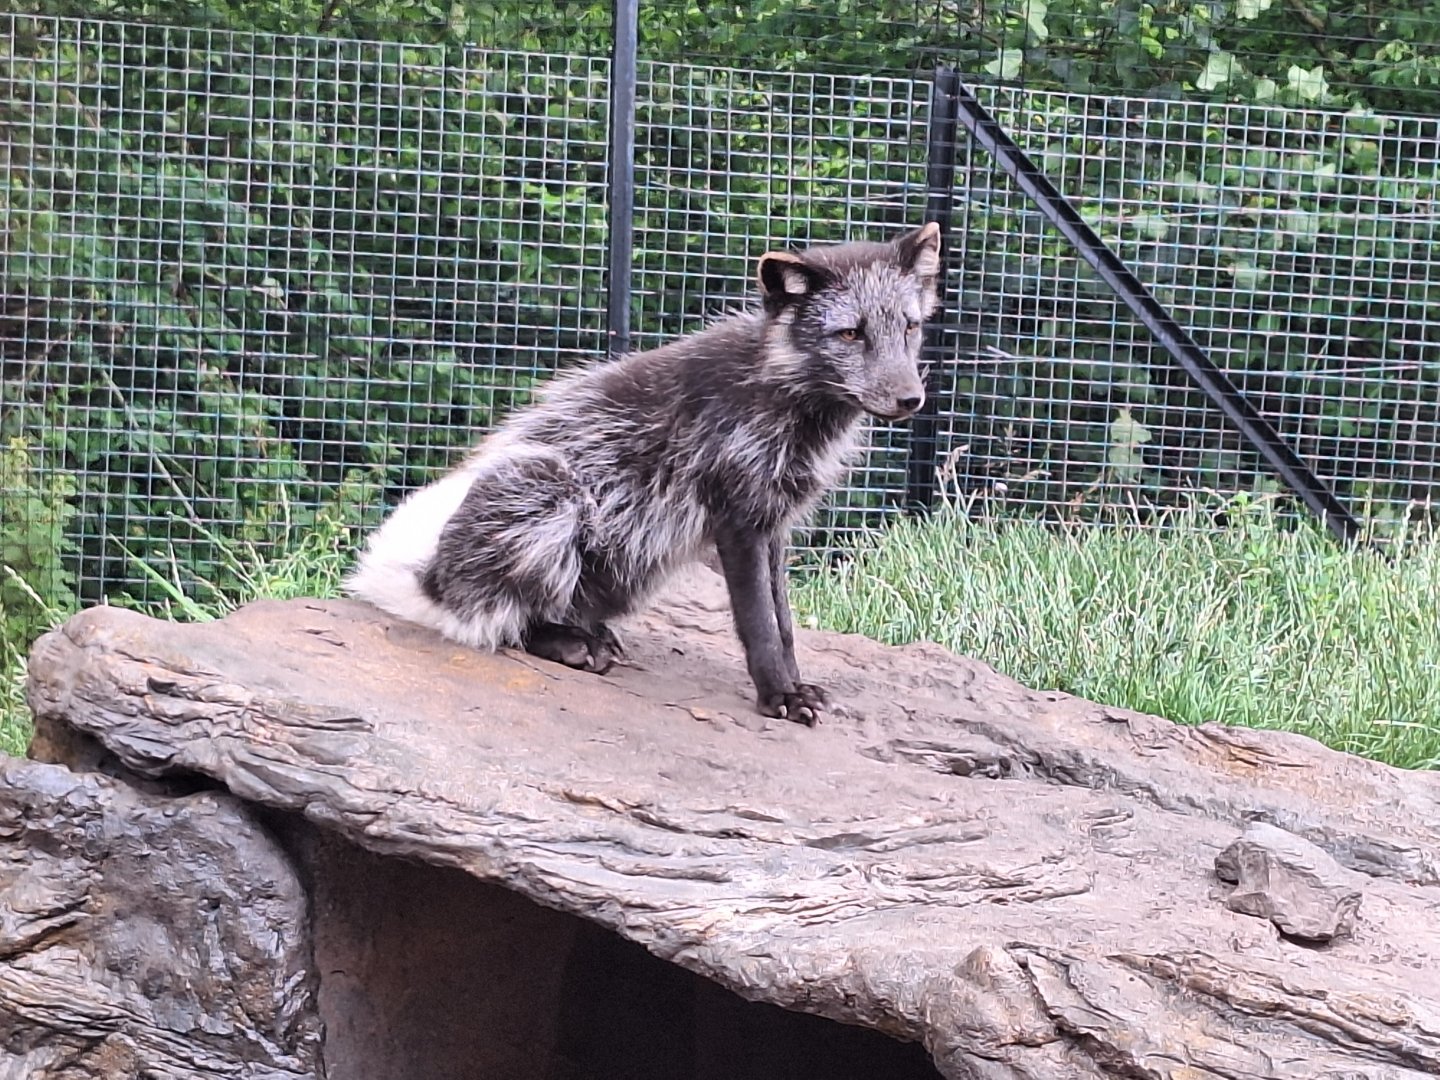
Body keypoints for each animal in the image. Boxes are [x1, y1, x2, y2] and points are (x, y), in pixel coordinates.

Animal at [346, 221, 942, 724]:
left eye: (910, 327)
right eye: (850, 335)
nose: (912, 400)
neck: (779, 388)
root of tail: (426, 581)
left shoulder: (775, 523)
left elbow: (785, 624)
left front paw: (795, 685)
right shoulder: (737, 520)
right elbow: (759, 626)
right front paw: (779, 696)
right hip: (547, 485)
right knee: (492, 623)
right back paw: (569, 644)